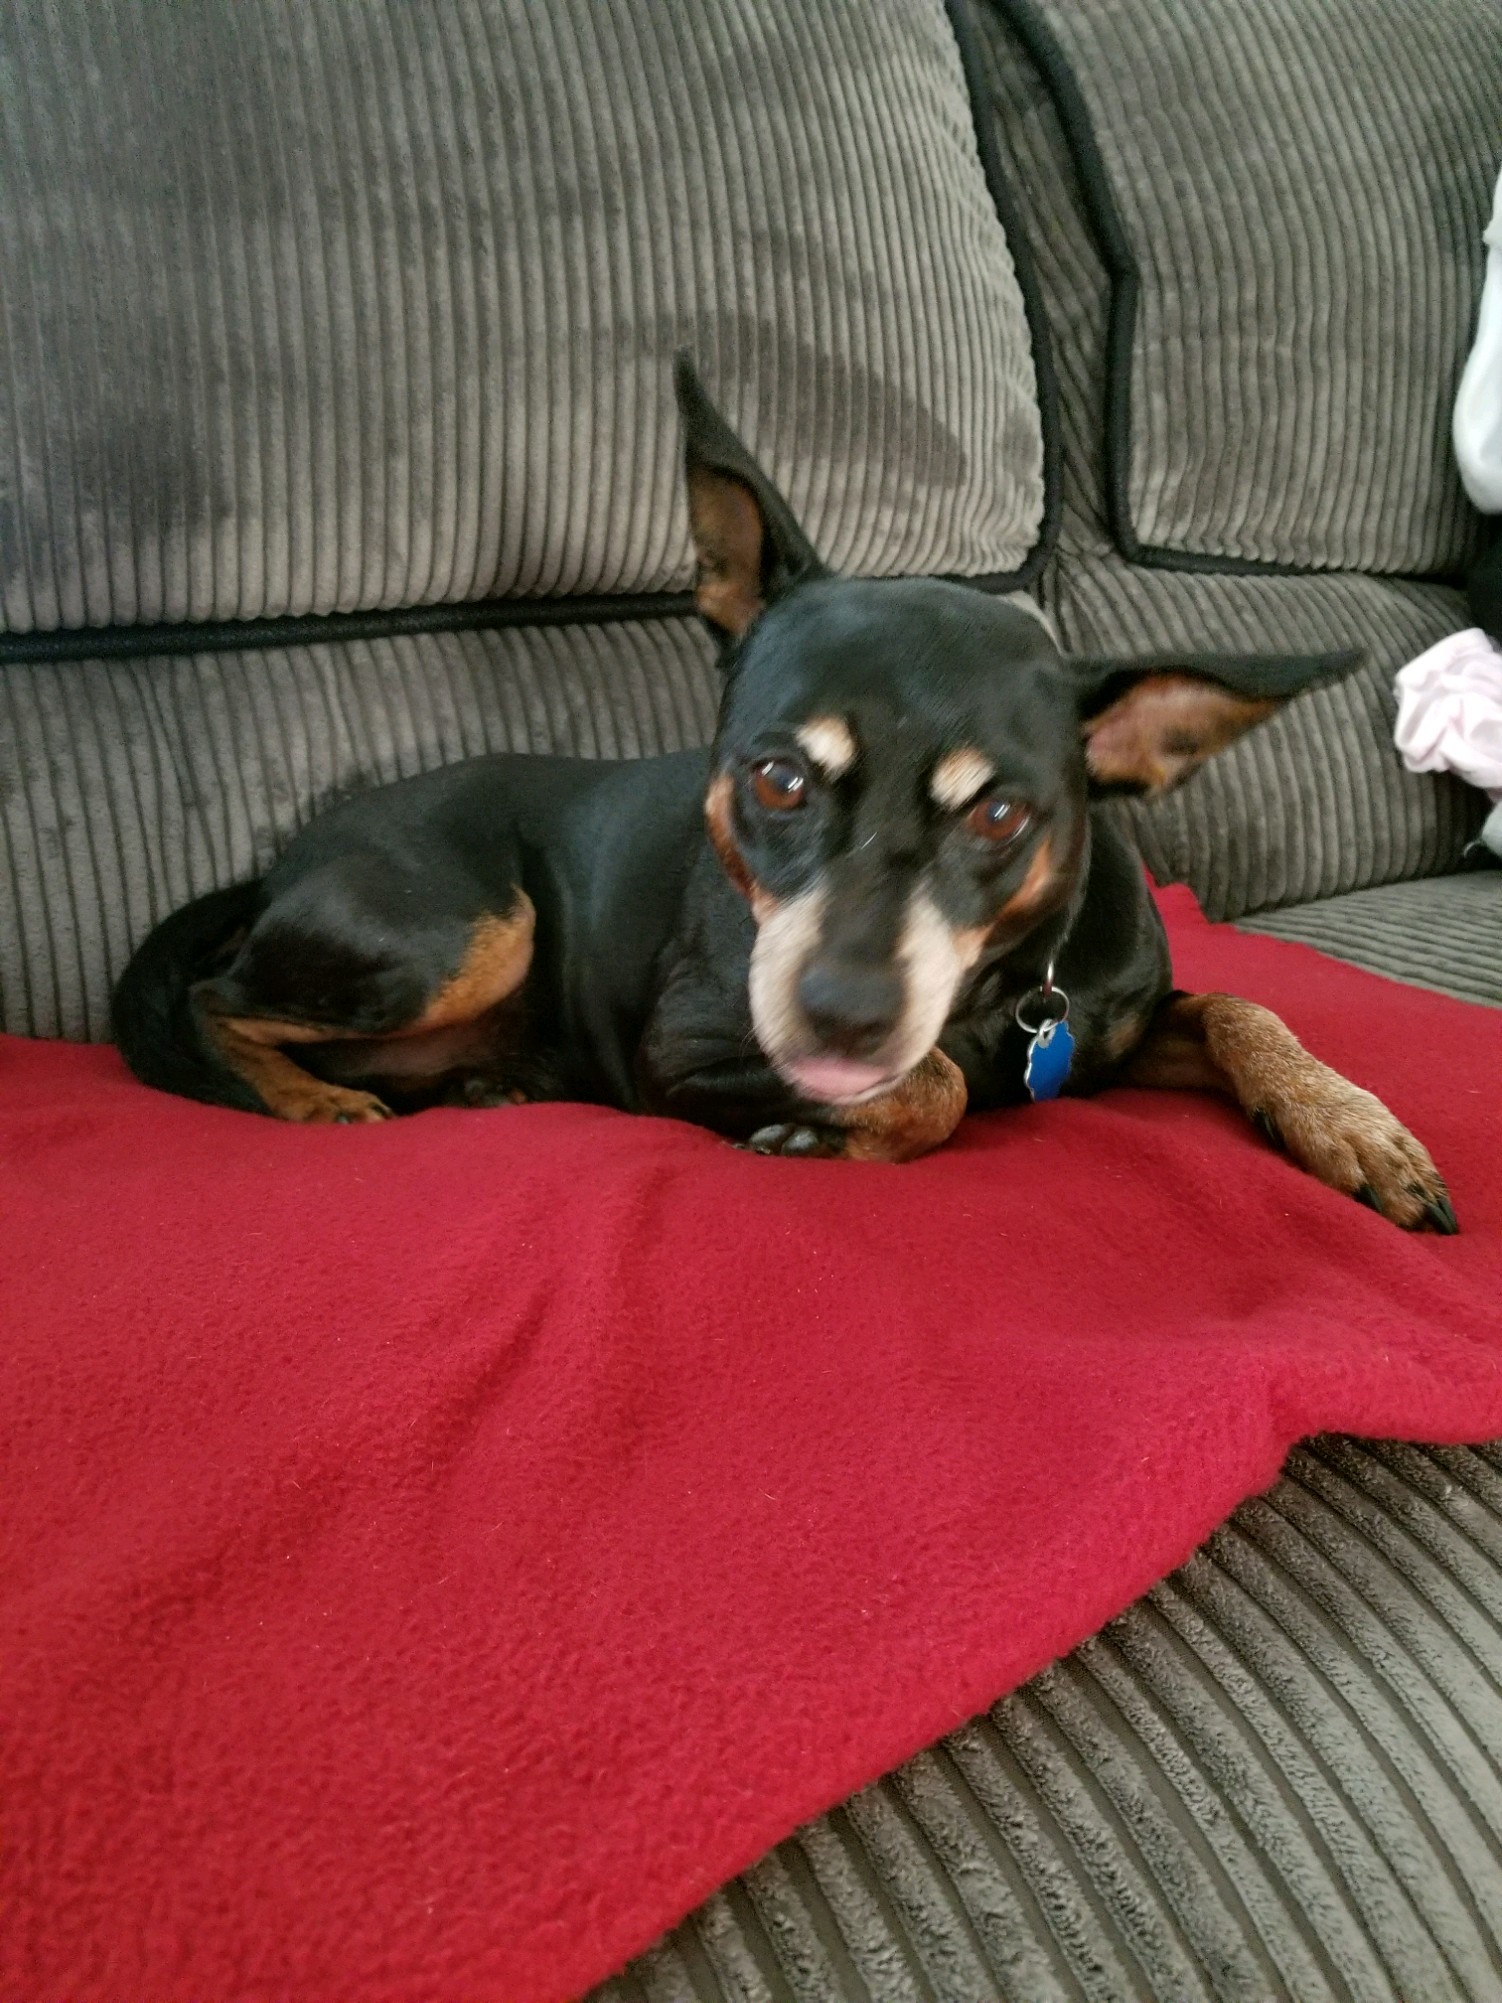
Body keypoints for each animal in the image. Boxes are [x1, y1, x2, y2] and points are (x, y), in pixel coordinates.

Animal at [114, 362, 1457, 1233]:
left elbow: (1240, 1005)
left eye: (1001, 815)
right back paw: (312, 1097)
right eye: (777, 776)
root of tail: (283, 863)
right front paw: (828, 1127)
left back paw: (488, 1081)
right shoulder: (692, 1048)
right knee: (216, 996)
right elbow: (938, 1086)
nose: (841, 1016)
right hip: (470, 928)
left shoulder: (1109, 1023)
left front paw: (1350, 1122)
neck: (999, 993)